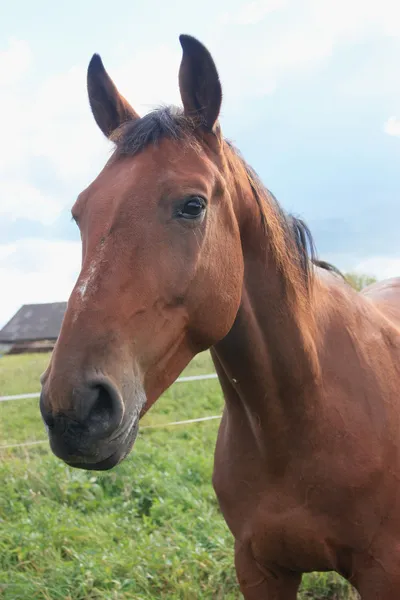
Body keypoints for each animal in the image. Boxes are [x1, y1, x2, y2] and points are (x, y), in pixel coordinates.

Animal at [39, 35, 400, 596]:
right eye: (80, 213)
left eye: (193, 205)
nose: (73, 409)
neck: (304, 414)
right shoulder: (260, 569)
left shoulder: (385, 572)